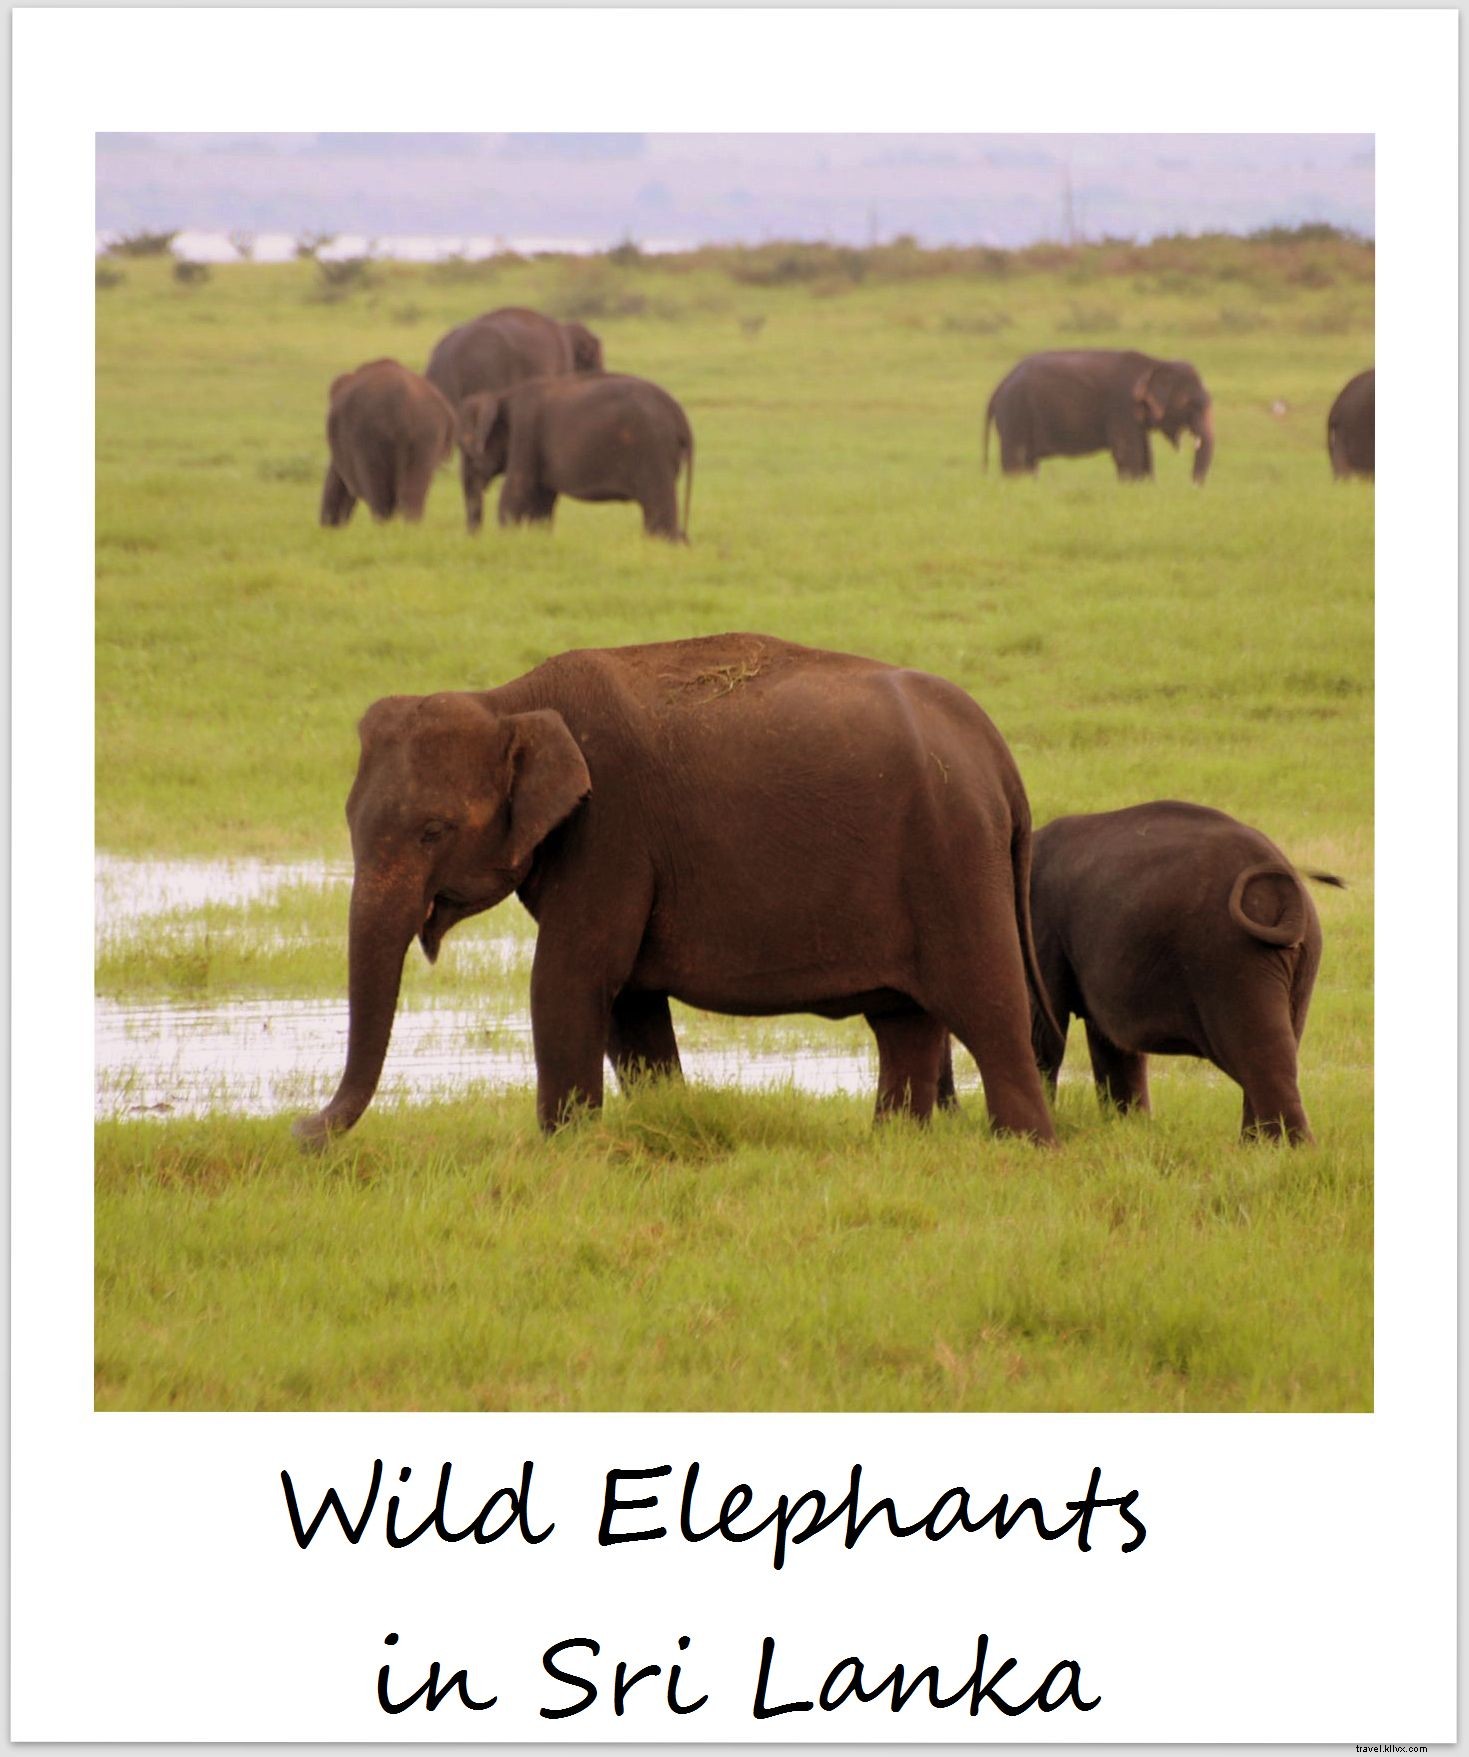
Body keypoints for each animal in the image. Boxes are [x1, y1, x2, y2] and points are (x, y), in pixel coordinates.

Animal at [293, 633, 1060, 1149]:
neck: (508, 701)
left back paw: (1026, 1148)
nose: (301, 1130)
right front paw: (661, 1122)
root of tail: (997, 754)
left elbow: (570, 978)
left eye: (433, 830)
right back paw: (893, 1144)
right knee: (904, 1021)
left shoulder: (611, 830)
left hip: (953, 858)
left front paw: (562, 1148)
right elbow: (628, 1003)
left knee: (988, 1012)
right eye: (350, 821)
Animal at [319, 359, 456, 525]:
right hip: (427, 435)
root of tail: (403, 405)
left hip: (369, 436)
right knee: (413, 494)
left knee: (379, 495)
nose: (327, 524)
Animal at [456, 372, 694, 540]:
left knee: (658, 507)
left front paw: (506, 538)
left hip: (653, 451)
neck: (501, 395)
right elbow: (543, 499)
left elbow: (517, 490)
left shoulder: (525, 433)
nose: (473, 538)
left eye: (466, 448)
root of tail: (681, 417)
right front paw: (538, 537)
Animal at [984, 350, 1215, 483]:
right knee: (1017, 460)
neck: (1156, 364)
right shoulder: (1121, 405)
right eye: (1191, 405)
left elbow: (1144, 452)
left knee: (1028, 462)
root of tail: (999, 385)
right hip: (1015, 413)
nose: (1193, 486)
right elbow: (1128, 452)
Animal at [1024, 800, 1342, 1143]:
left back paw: (1282, 1149)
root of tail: (1282, 891)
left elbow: (1046, 1025)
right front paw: (1130, 1128)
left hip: (1228, 956)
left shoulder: (1041, 923)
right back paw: (1260, 1147)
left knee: (1256, 1052)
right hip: (1296, 957)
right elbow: (1108, 1040)